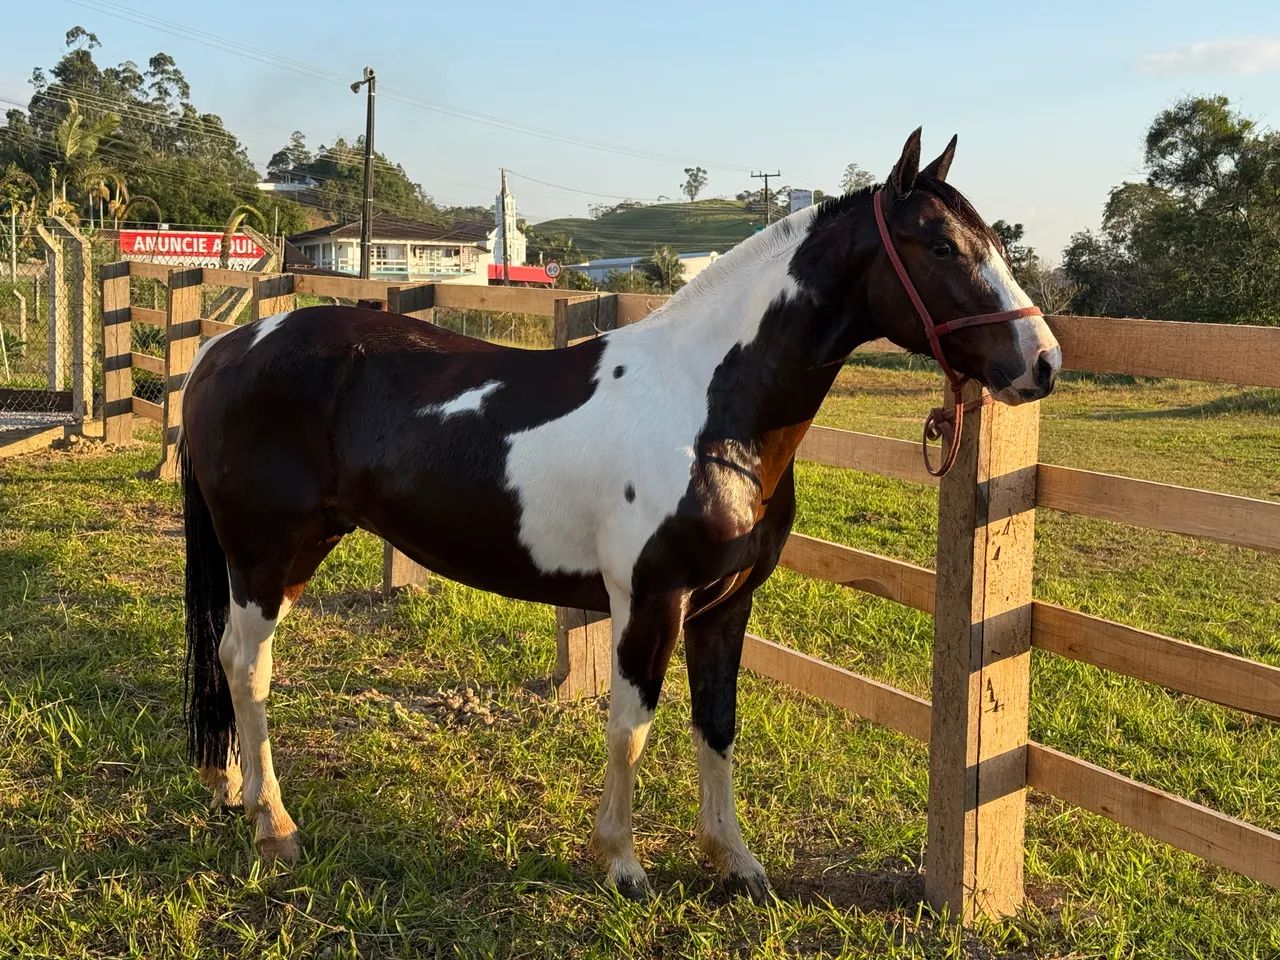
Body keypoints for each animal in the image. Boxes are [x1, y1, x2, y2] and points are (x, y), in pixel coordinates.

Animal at [180, 130, 1060, 900]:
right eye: (940, 246)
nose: (1043, 362)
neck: (709, 409)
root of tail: (228, 348)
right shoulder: (650, 601)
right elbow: (631, 727)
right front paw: (623, 865)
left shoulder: (725, 606)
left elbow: (717, 723)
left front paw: (733, 862)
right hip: (264, 553)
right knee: (247, 664)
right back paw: (275, 825)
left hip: (299, 550)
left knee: (230, 659)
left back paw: (233, 789)